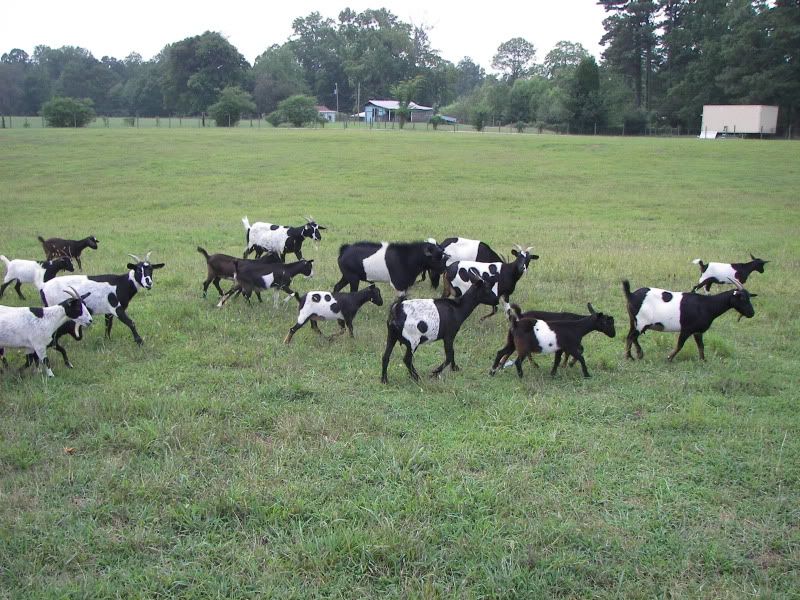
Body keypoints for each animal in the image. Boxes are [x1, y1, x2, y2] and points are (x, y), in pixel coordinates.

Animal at [623, 278, 756, 361]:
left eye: (749, 297)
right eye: (742, 298)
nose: (752, 313)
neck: (707, 306)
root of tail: (631, 294)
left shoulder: (697, 331)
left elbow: (701, 346)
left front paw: (703, 360)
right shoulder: (687, 329)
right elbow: (680, 345)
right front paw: (669, 358)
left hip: (634, 321)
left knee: (631, 336)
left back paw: (637, 354)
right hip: (641, 322)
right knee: (631, 337)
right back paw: (630, 357)